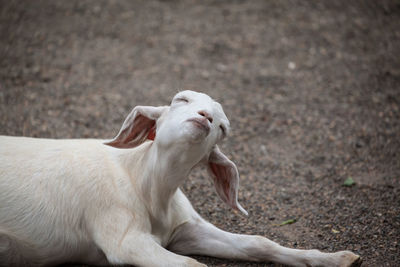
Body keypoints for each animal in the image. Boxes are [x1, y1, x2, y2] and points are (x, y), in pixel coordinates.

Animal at [0, 91, 360, 266]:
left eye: (223, 127)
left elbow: (258, 242)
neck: (144, 185)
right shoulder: (123, 238)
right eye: (181, 99)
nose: (205, 117)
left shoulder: (185, 230)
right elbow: (193, 265)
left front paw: (339, 259)